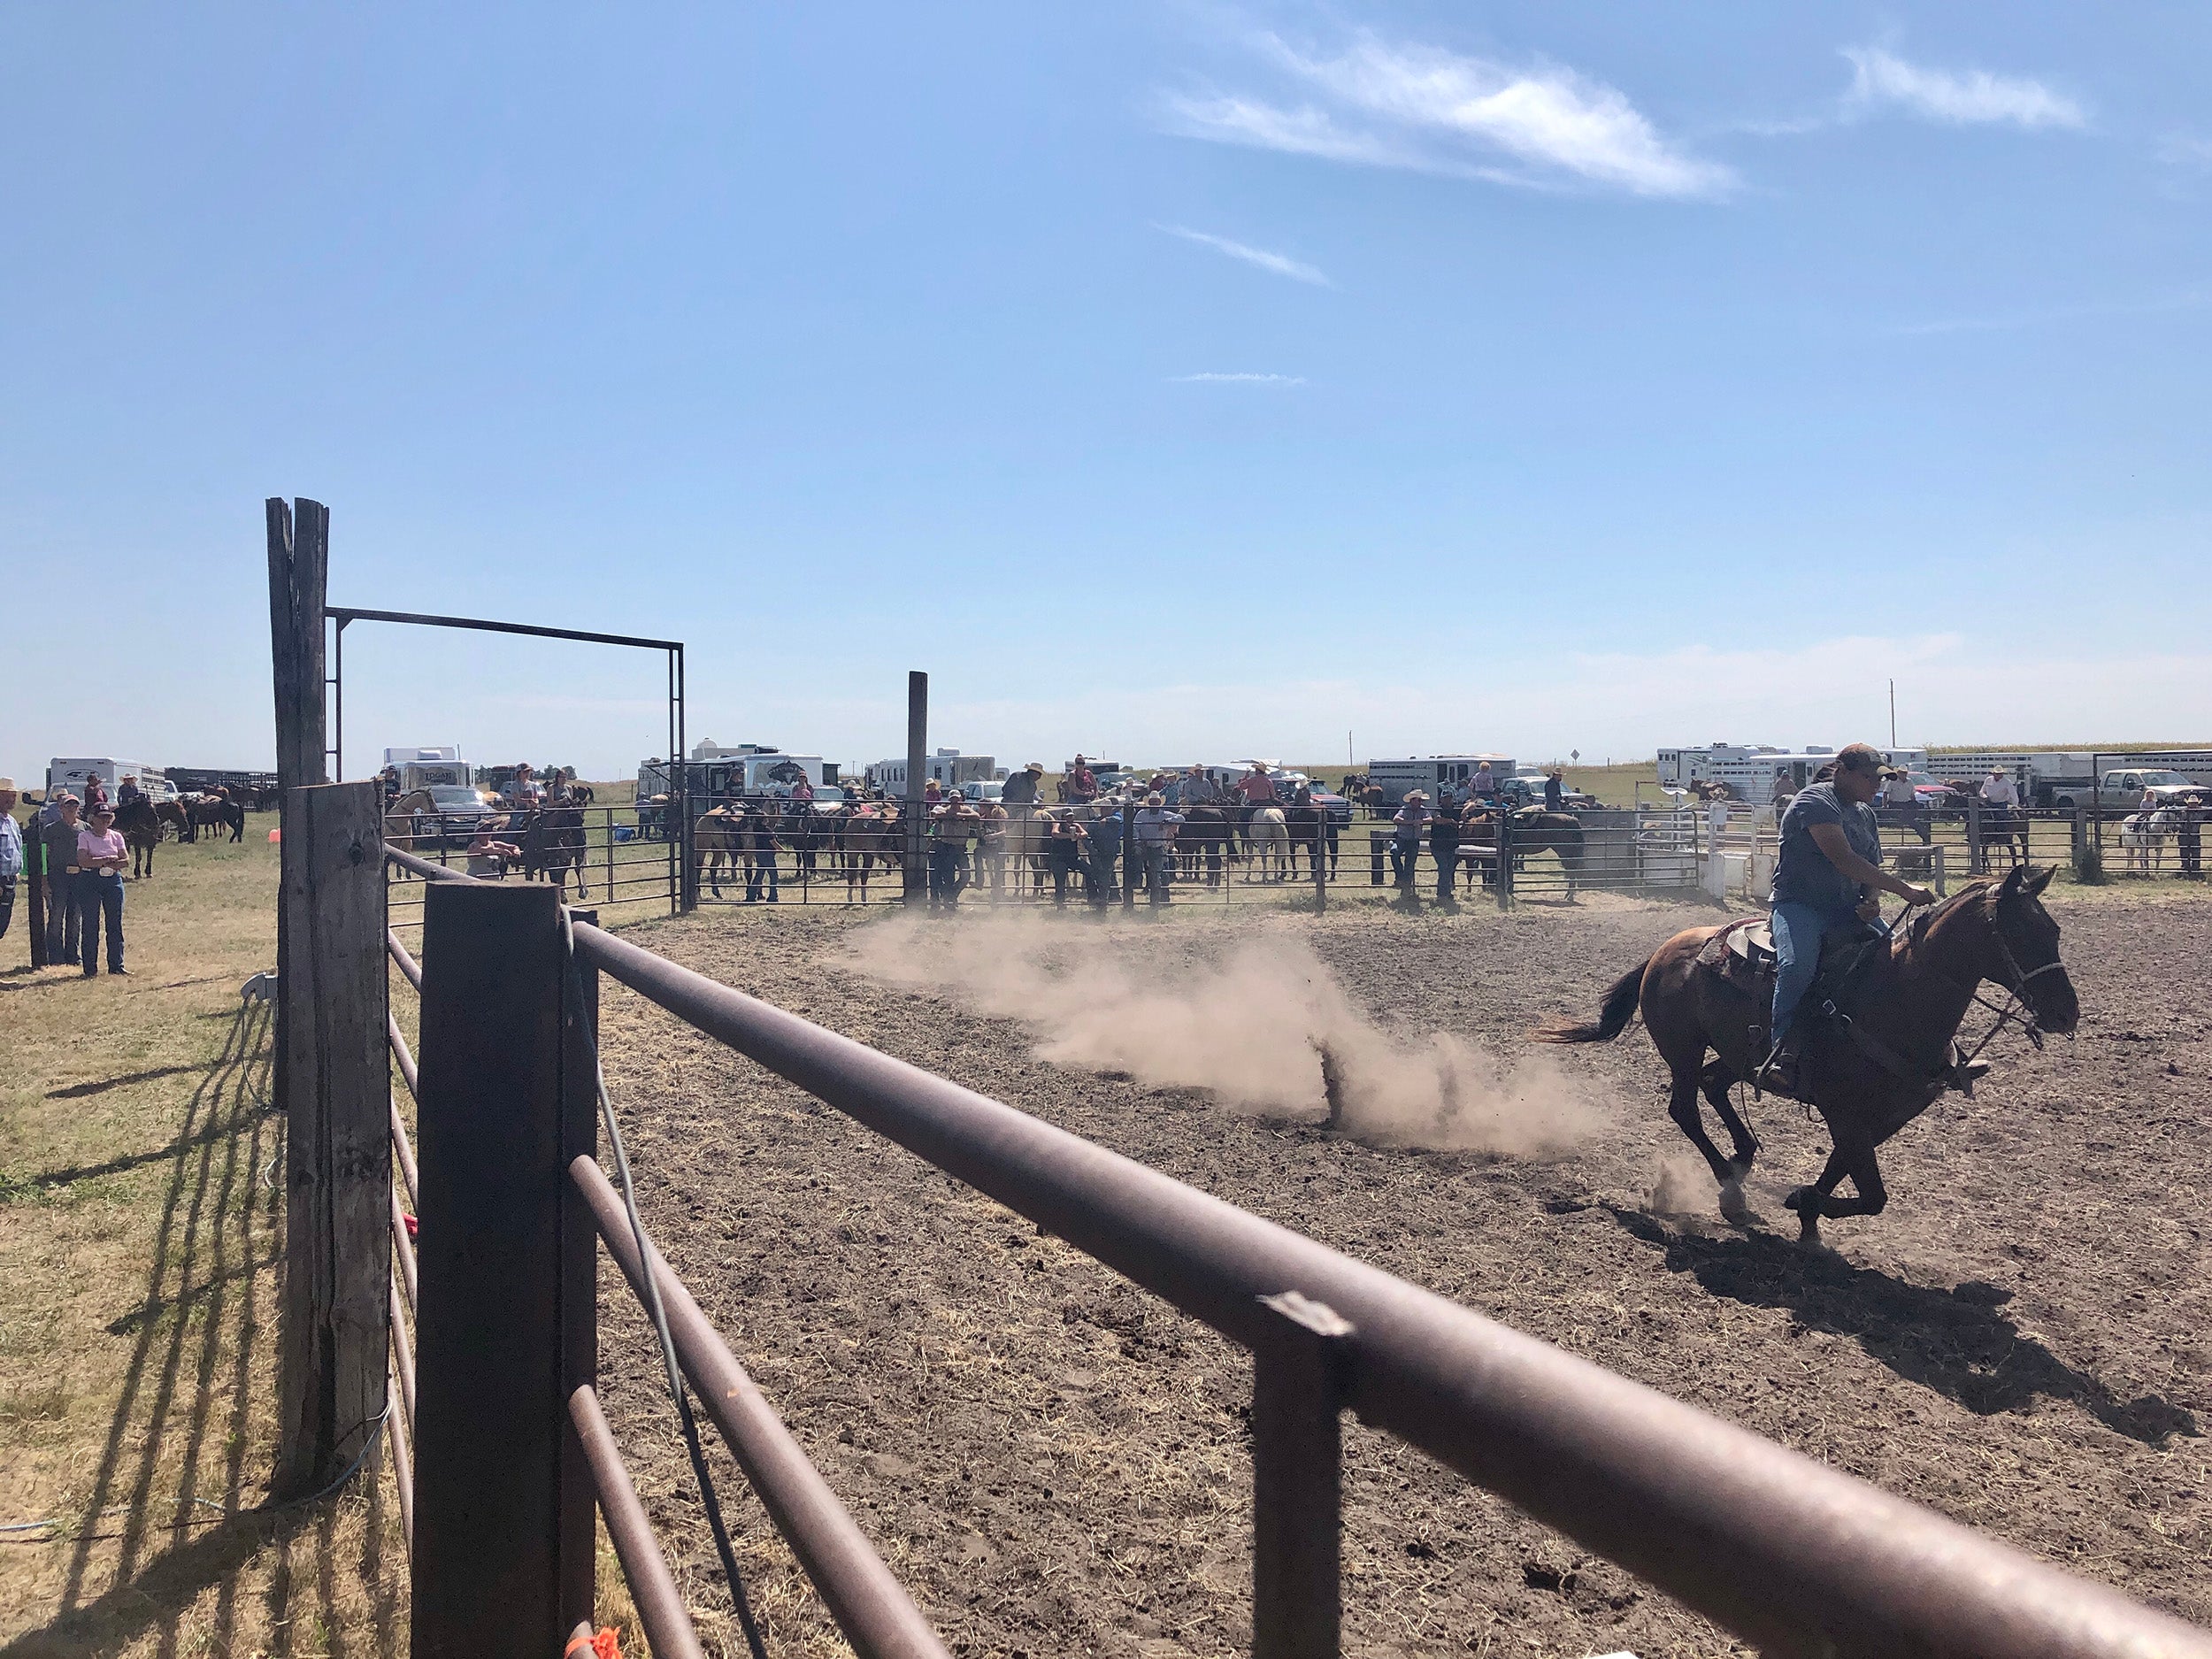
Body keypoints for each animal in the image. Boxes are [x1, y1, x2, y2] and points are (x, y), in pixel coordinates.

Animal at [1540, 872, 2070, 1248]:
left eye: (2054, 929)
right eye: (2018, 931)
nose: (2068, 1012)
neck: (1894, 998)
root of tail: (1663, 950)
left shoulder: (1882, 1117)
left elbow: (1845, 1173)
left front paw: (1810, 1218)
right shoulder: (1845, 1113)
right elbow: (1872, 1195)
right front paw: (1803, 1200)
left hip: (1738, 1052)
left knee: (1715, 1086)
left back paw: (1742, 1160)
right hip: (1683, 1049)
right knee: (1685, 1108)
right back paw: (1731, 1189)